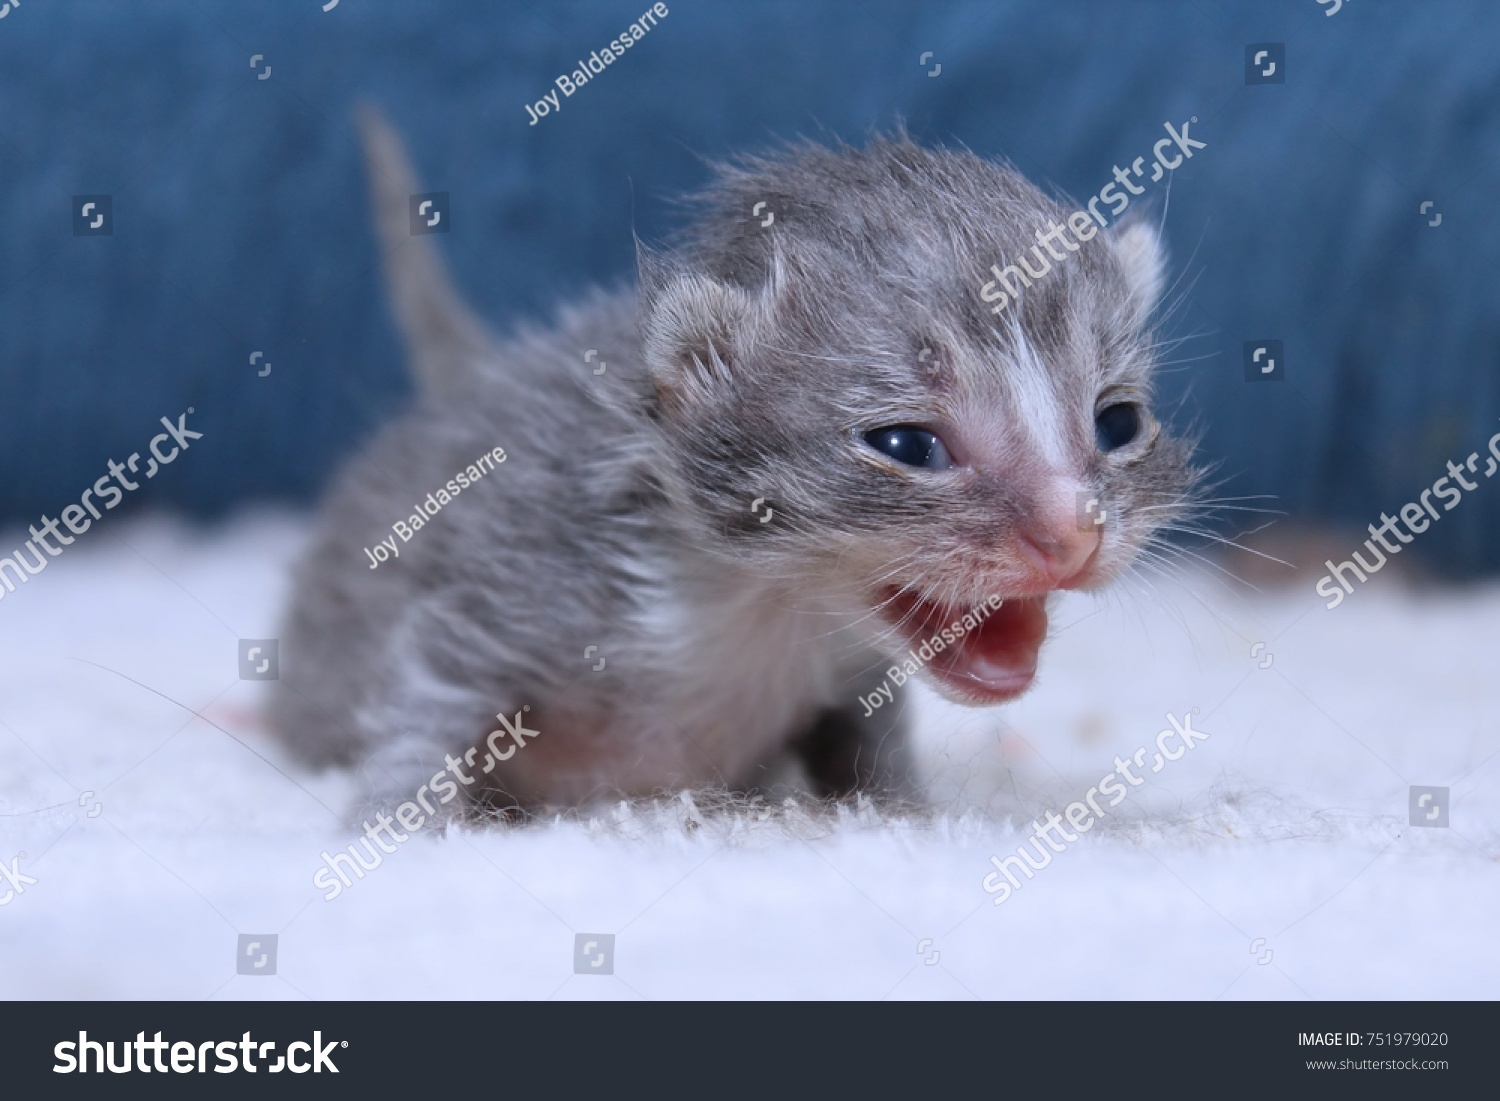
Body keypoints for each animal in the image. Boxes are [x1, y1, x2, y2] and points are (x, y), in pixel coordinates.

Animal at [273, 110, 1194, 822]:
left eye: (1118, 421)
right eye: (906, 446)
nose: (1075, 531)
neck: (757, 605)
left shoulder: (848, 675)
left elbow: (871, 750)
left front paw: (901, 812)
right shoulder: (511, 580)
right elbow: (427, 702)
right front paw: (392, 826)